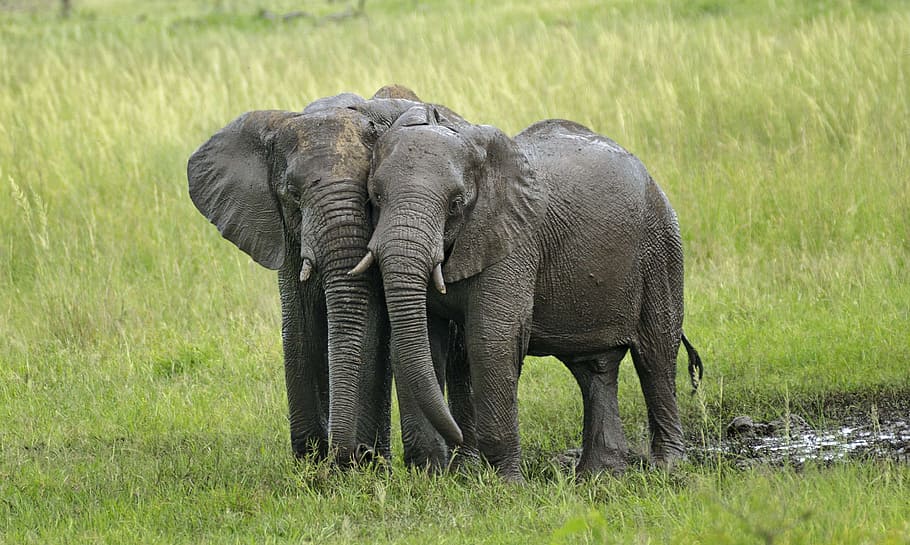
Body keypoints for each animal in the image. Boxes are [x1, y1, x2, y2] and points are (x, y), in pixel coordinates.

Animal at [187, 85, 462, 466]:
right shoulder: (286, 236)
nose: (342, 455)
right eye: (292, 194)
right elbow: (299, 327)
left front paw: (356, 464)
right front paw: (310, 461)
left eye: (370, 196)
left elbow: (368, 327)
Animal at [350, 104, 703, 481]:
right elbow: (424, 343)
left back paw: (666, 467)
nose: (456, 437)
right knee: (594, 368)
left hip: (660, 247)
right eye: (375, 196)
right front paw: (430, 478)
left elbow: (491, 340)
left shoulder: (514, 241)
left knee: (655, 355)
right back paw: (600, 476)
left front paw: (505, 484)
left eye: (456, 204)